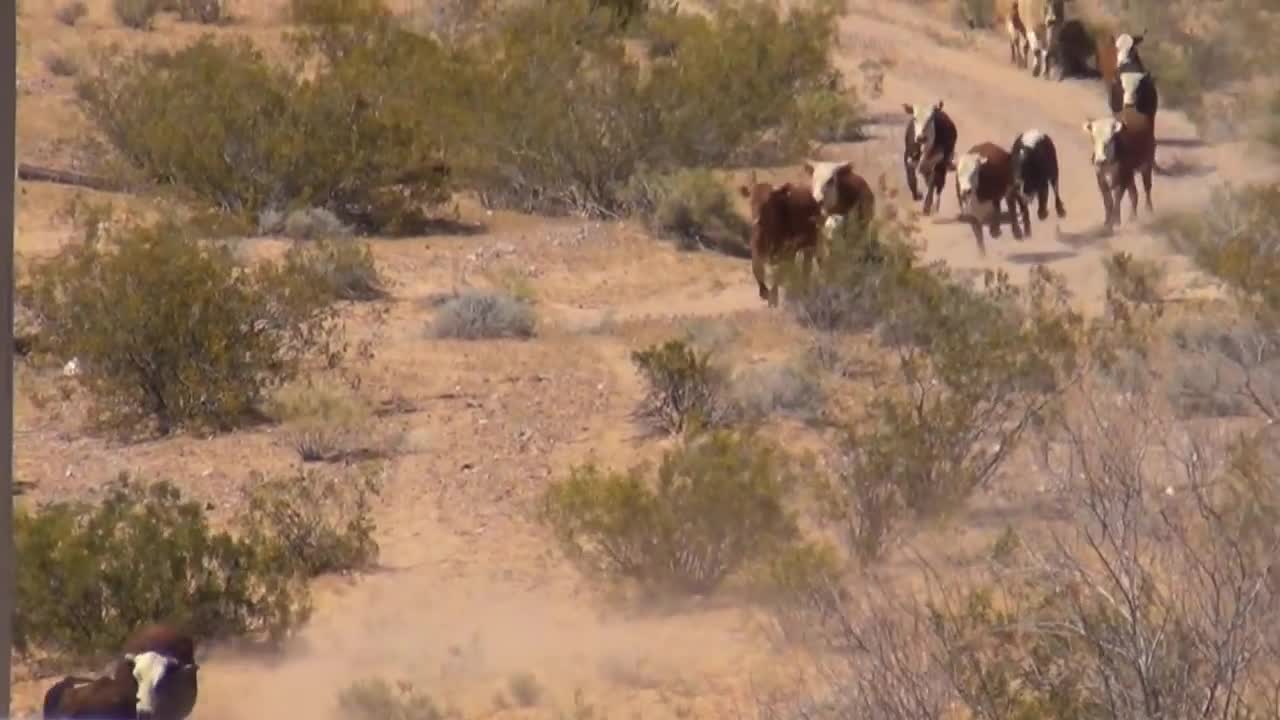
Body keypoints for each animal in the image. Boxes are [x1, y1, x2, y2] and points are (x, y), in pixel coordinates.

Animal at [737, 178, 824, 307]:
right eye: (751, 200)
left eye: (767, 203)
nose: (756, 219)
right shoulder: (757, 249)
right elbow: (756, 269)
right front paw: (764, 292)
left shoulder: (786, 251)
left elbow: (779, 272)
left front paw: (773, 297)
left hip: (810, 244)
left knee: (806, 268)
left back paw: (804, 290)